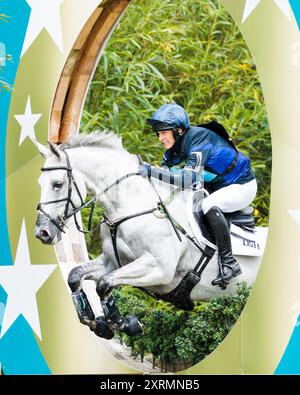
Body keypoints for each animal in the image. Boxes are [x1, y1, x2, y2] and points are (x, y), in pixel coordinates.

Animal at [34, 133, 266, 340]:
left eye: (57, 184)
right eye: (39, 184)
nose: (42, 233)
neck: (130, 205)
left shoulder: (160, 270)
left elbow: (104, 284)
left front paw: (125, 324)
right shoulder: (112, 262)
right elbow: (75, 276)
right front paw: (95, 322)